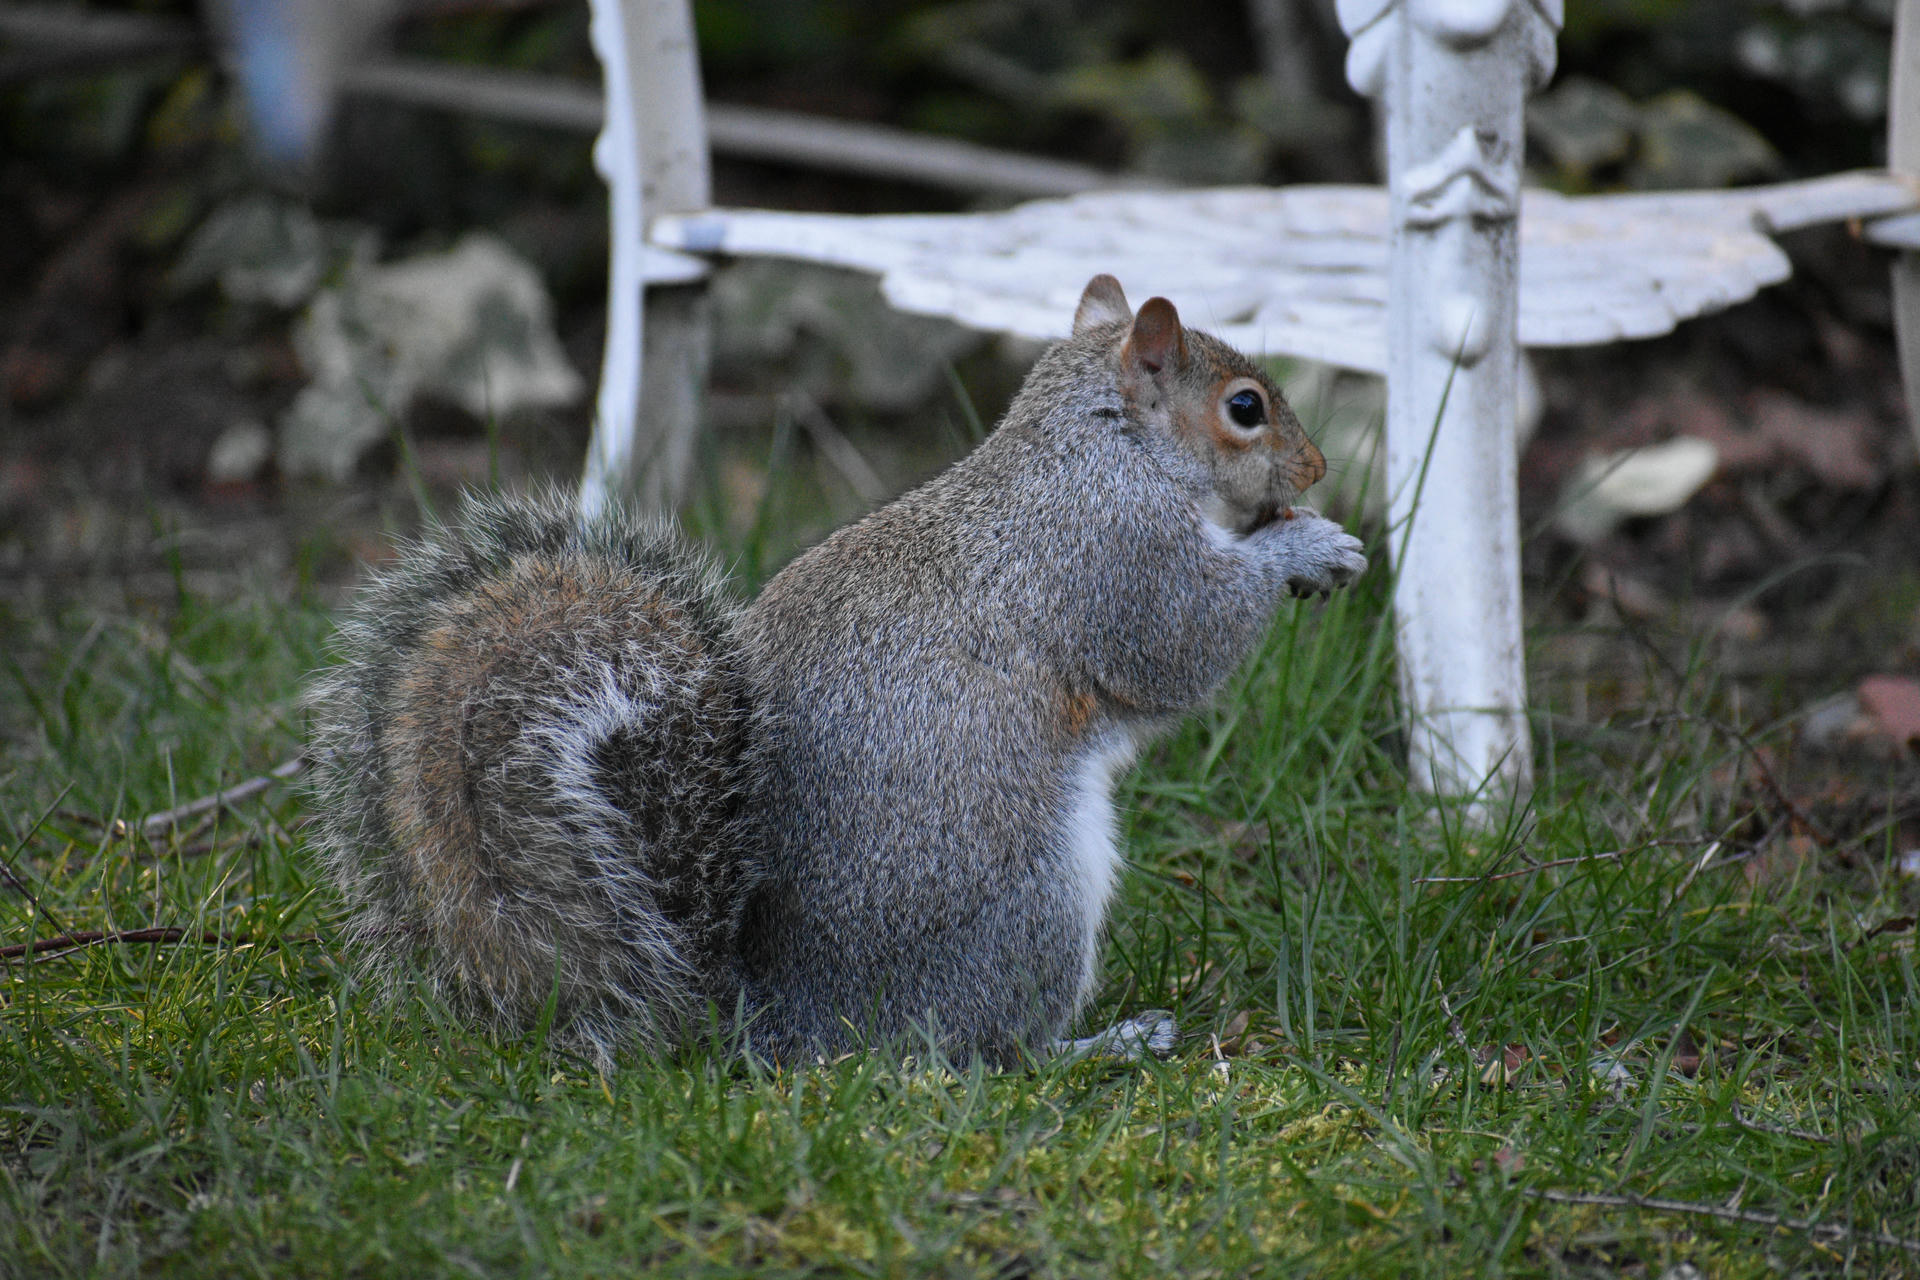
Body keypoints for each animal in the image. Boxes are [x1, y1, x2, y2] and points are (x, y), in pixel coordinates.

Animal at [307, 274, 1368, 1069]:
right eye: (1244, 409)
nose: (1316, 469)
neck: (1100, 449)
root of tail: (782, 1024)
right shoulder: (1114, 558)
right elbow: (1178, 646)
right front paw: (1306, 549)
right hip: (1033, 897)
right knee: (979, 1052)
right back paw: (1105, 1044)